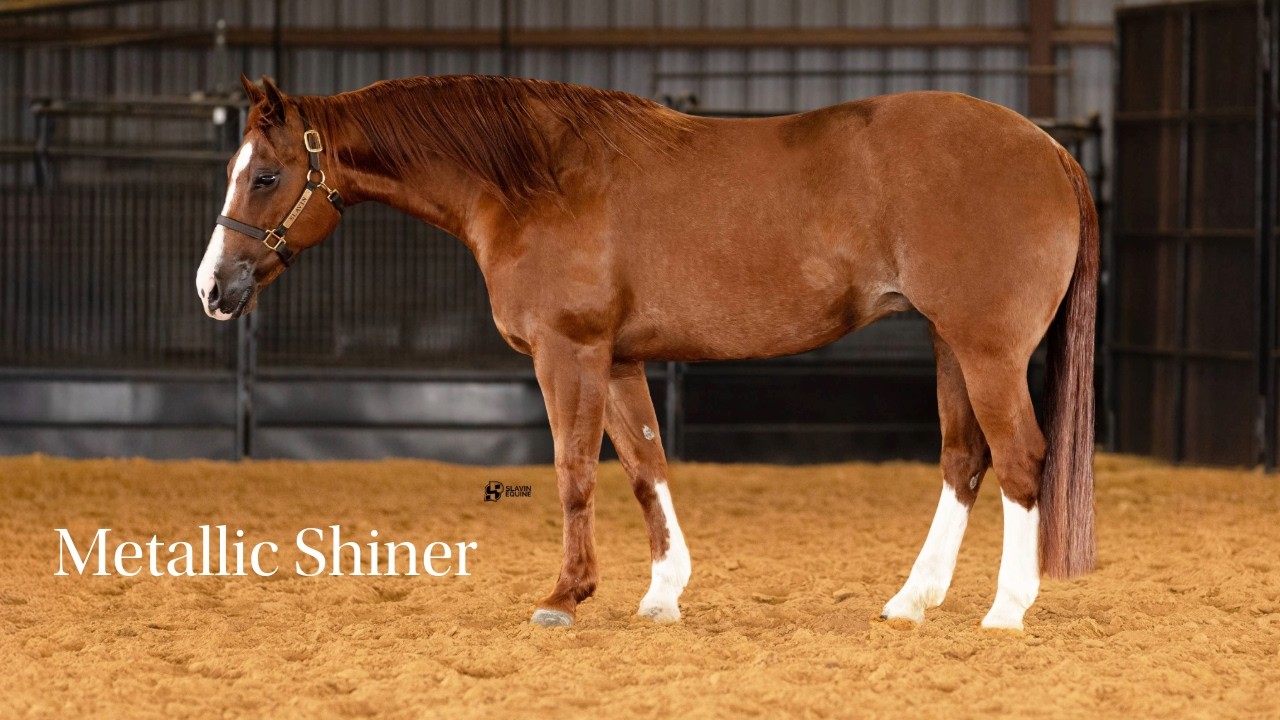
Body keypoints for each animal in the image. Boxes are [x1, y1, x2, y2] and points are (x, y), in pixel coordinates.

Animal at [197, 74, 1097, 631]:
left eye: (266, 176)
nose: (213, 288)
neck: (535, 180)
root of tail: (1049, 149)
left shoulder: (569, 353)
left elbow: (574, 470)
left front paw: (566, 594)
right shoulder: (621, 359)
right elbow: (644, 466)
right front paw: (663, 593)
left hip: (987, 350)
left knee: (1021, 457)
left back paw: (1006, 609)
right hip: (951, 344)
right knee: (964, 459)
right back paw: (912, 601)